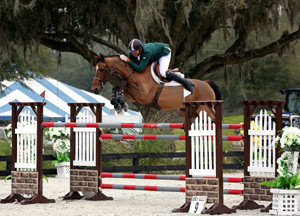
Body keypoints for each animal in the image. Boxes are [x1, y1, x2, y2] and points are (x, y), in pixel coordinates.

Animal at [91, 53, 220, 119]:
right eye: (94, 69)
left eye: (101, 69)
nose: (95, 89)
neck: (135, 73)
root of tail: (207, 84)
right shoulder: (133, 95)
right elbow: (118, 87)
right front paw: (118, 105)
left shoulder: (143, 94)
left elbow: (124, 85)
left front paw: (122, 104)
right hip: (188, 111)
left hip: (204, 108)